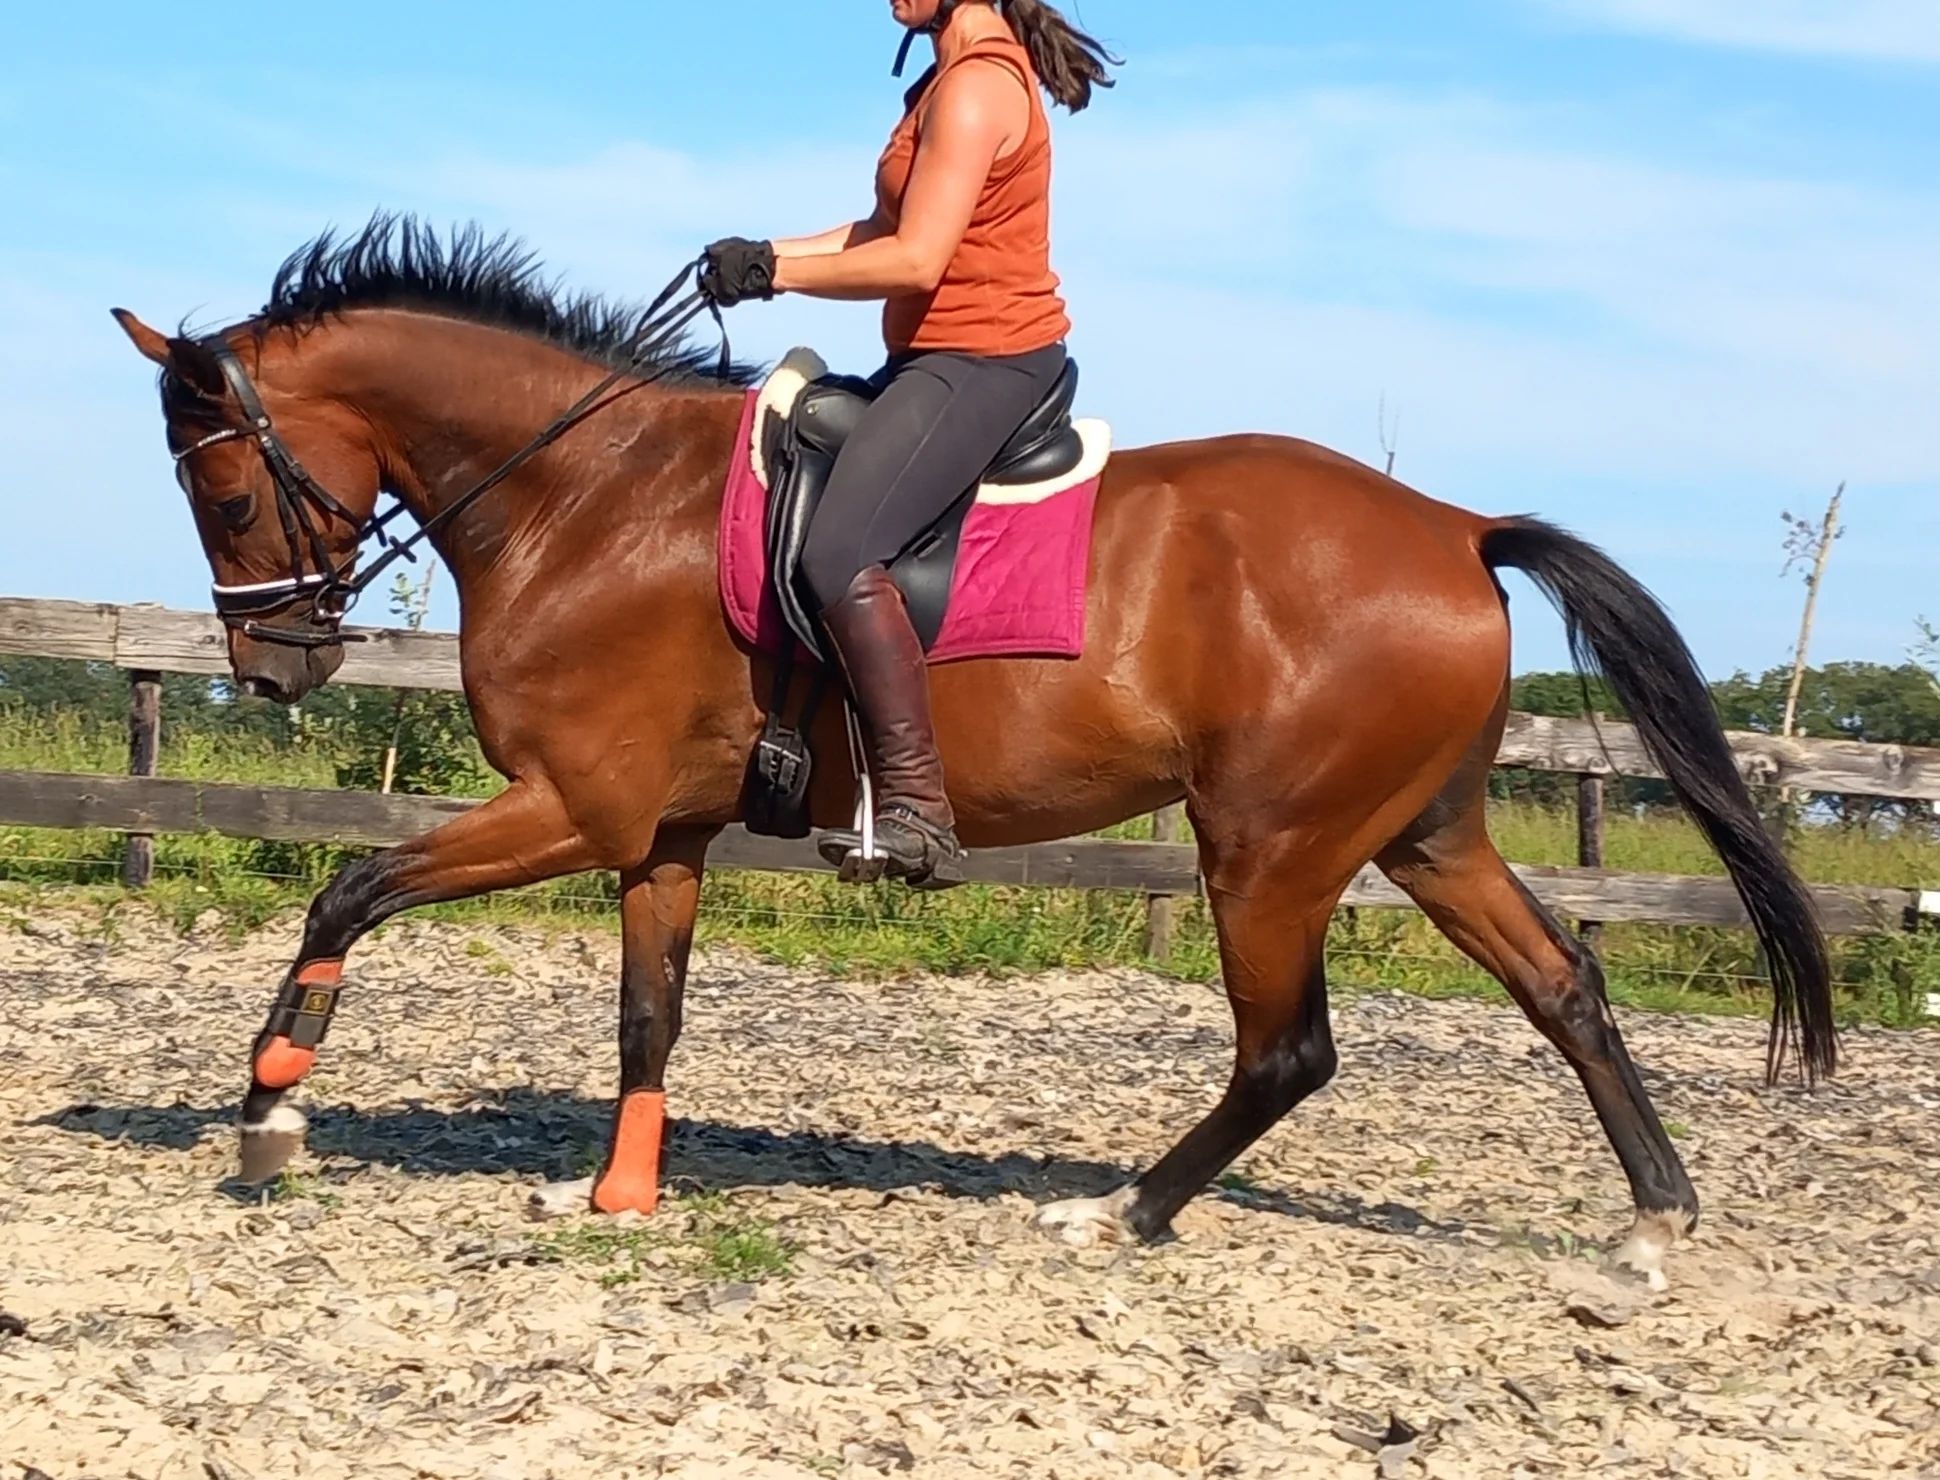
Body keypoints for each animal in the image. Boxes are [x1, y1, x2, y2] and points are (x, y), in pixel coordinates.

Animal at [113, 218, 1833, 1290]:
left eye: (223, 489)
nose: (276, 666)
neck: (584, 494)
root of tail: (1460, 529)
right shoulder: (656, 835)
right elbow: (648, 1018)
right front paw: (617, 1197)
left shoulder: (572, 807)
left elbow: (348, 889)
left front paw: (271, 1115)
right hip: (1424, 834)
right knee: (1565, 988)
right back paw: (1655, 1224)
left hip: (1269, 851)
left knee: (1289, 1050)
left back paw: (1120, 1213)